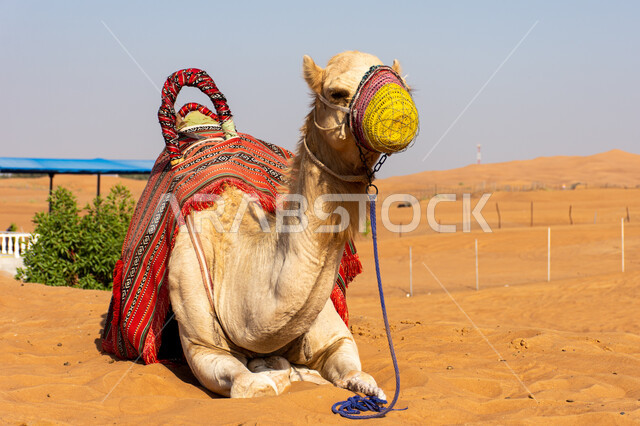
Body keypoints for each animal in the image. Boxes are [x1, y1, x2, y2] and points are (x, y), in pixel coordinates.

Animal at [166, 51, 407, 398]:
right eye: (336, 92)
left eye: (403, 83)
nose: (398, 111)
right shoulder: (202, 346)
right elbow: (255, 384)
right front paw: (279, 370)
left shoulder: (335, 336)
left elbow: (361, 376)